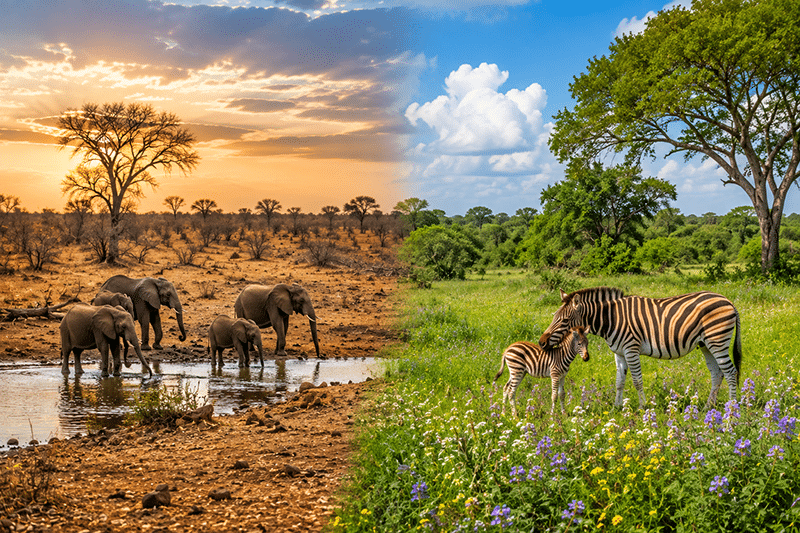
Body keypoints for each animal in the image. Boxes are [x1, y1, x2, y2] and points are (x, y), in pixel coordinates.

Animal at [539, 287, 742, 409]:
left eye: (564, 320)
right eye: (554, 316)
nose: (541, 343)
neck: (611, 319)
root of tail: (729, 301)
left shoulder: (631, 349)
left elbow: (637, 380)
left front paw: (643, 407)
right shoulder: (619, 353)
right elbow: (619, 381)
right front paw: (617, 408)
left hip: (717, 340)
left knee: (730, 372)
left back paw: (732, 407)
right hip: (706, 344)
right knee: (717, 373)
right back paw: (709, 407)